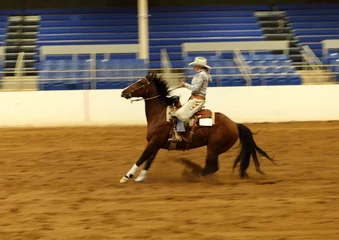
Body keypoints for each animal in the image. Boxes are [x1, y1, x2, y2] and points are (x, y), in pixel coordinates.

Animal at [119, 72, 274, 183]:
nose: (123, 92)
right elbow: (148, 161)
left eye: (140, 82)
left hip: (213, 147)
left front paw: (126, 177)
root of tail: (234, 124)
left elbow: (141, 158)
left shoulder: (153, 142)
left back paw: (193, 173)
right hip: (214, 149)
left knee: (211, 167)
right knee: (212, 167)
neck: (161, 115)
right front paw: (140, 177)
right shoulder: (156, 144)